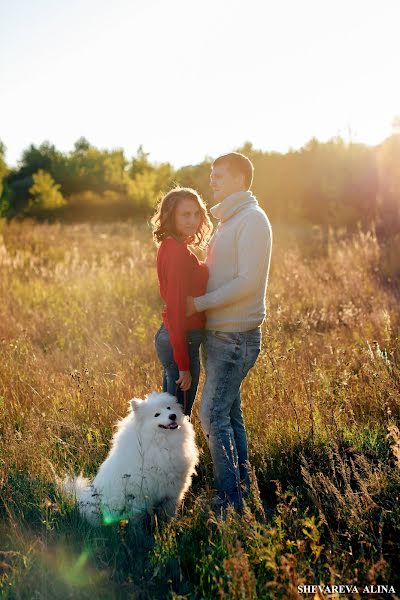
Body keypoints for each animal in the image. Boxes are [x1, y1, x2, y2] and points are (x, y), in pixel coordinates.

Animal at [60, 390, 198, 524]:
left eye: (169, 408)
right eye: (156, 414)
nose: (173, 416)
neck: (161, 443)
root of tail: (81, 498)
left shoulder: (172, 492)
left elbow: (168, 513)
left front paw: (168, 526)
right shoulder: (141, 495)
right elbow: (139, 519)